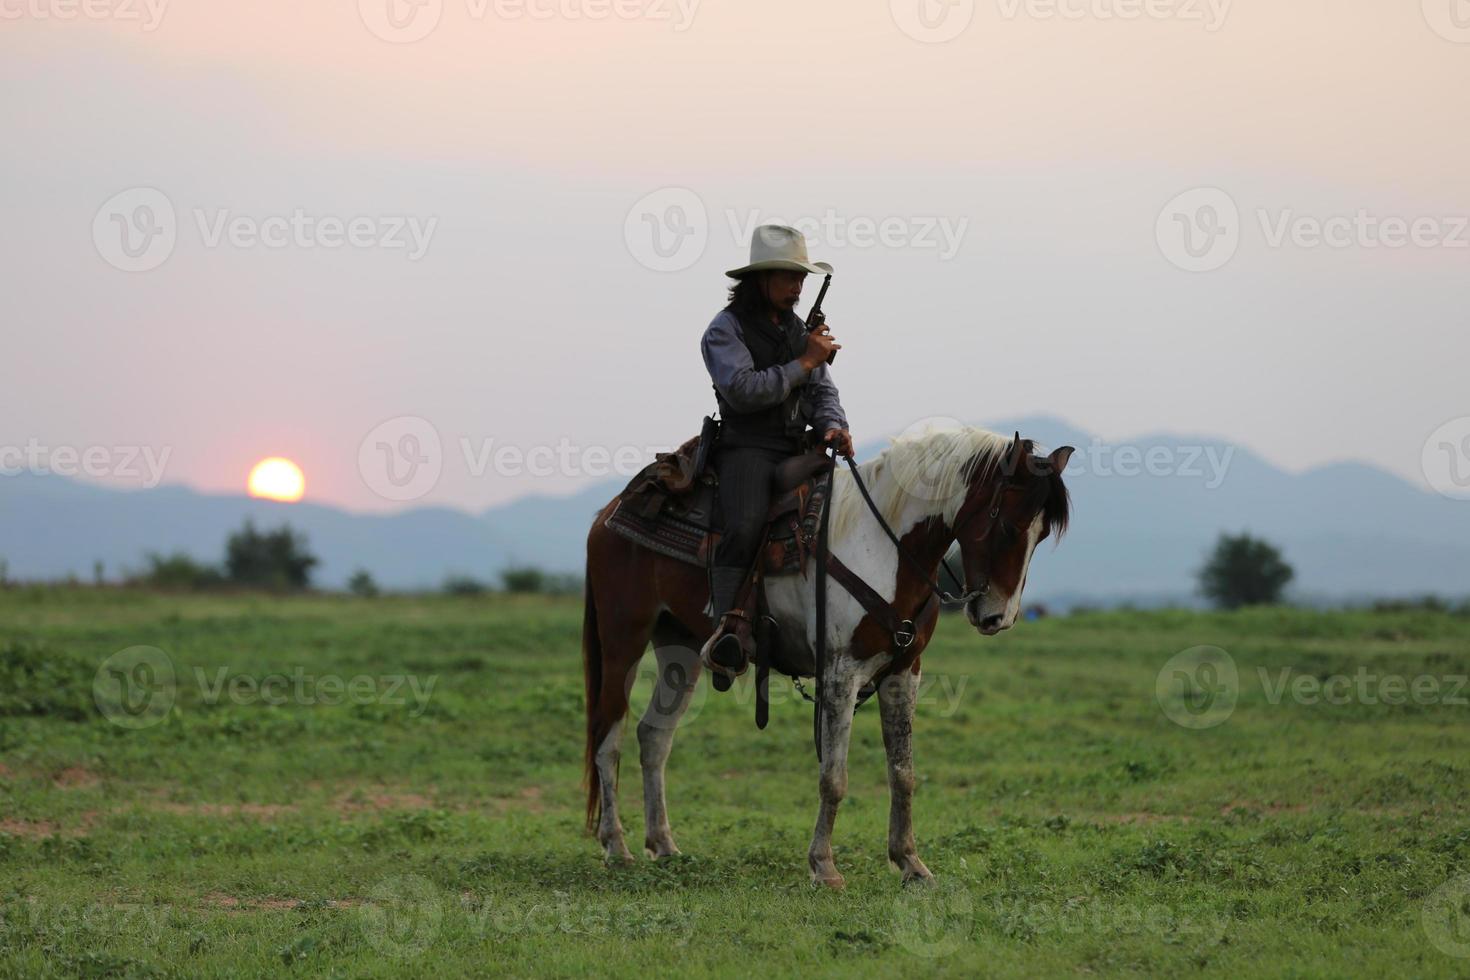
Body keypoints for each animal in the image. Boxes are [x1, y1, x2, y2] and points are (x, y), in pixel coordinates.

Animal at [579, 426, 1076, 887]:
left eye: (1040, 535)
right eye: (1008, 525)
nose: (997, 617)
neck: (885, 546)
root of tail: (608, 515)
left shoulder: (904, 672)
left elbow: (903, 772)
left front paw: (911, 863)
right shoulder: (840, 673)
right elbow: (833, 777)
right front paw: (824, 866)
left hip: (680, 647)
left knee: (654, 736)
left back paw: (663, 844)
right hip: (624, 638)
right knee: (609, 734)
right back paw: (616, 845)